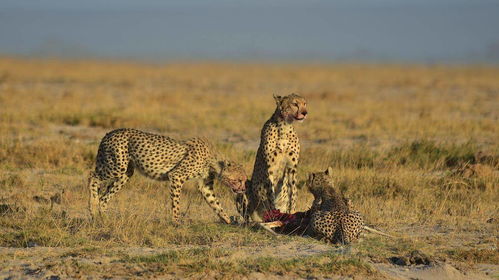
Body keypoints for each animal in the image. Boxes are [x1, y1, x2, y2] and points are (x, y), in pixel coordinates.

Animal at [89, 128, 248, 224]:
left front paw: (227, 219)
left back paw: (103, 218)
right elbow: (176, 202)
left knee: (104, 196)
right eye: (239, 180)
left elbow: (215, 203)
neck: (213, 161)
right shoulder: (176, 176)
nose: (243, 189)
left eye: (244, 180)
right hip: (117, 166)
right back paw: (92, 208)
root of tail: (110, 132)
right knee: (92, 177)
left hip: (126, 173)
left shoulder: (205, 185)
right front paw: (176, 222)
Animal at [237, 93, 306, 222]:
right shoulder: (270, 168)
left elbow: (293, 193)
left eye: (305, 104)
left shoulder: (292, 168)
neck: (284, 127)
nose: (305, 112)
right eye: (295, 104)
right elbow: (271, 194)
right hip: (245, 189)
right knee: (247, 215)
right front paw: (274, 214)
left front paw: (292, 212)